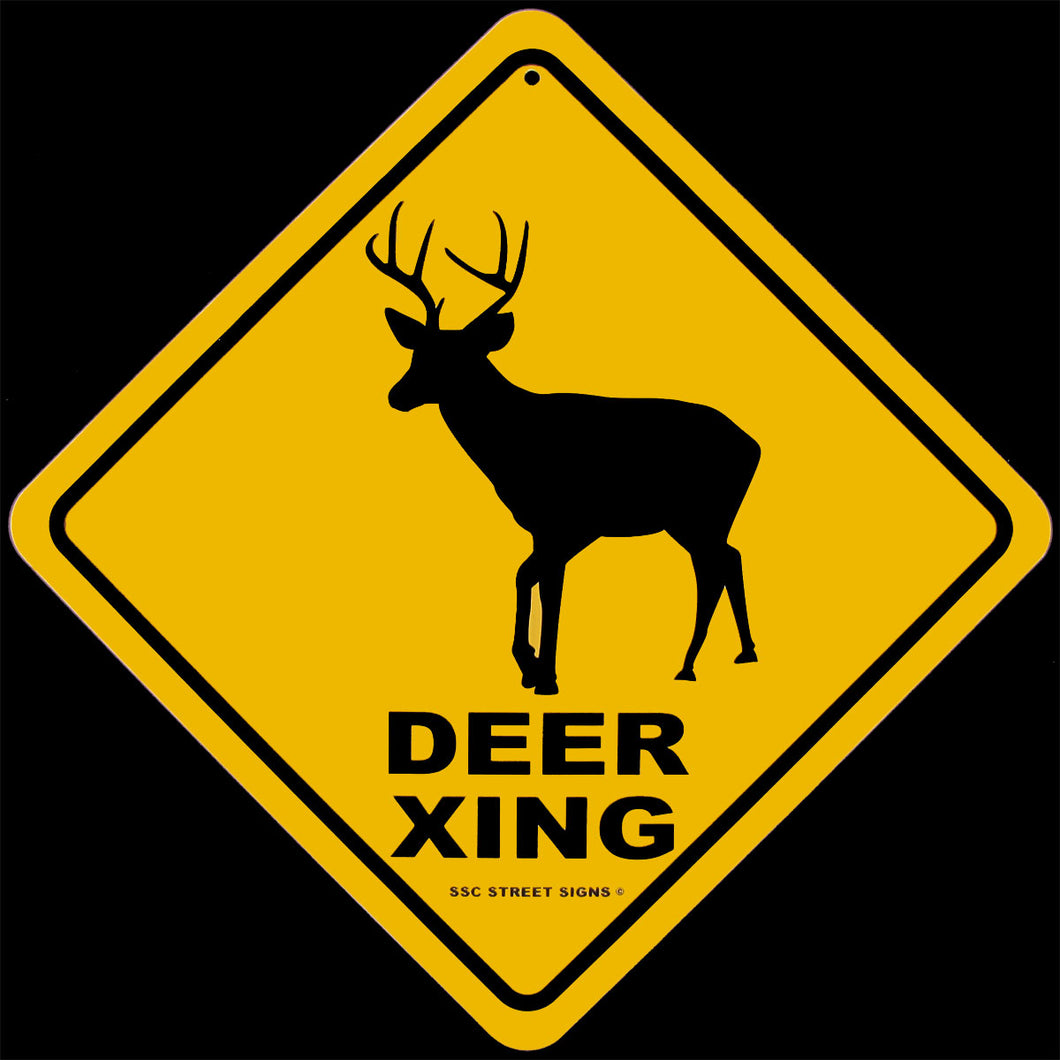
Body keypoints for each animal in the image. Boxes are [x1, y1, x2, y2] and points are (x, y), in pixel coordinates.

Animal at [366, 202, 760, 696]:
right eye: (417, 352)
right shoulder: (547, 528)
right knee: (729, 559)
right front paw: (528, 664)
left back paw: (691, 664)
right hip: (700, 519)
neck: (513, 445)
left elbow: (550, 587)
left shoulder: (566, 519)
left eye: (459, 358)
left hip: (702, 512)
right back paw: (737, 653)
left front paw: (546, 676)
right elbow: (525, 575)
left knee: (714, 568)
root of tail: (754, 445)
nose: (396, 395)